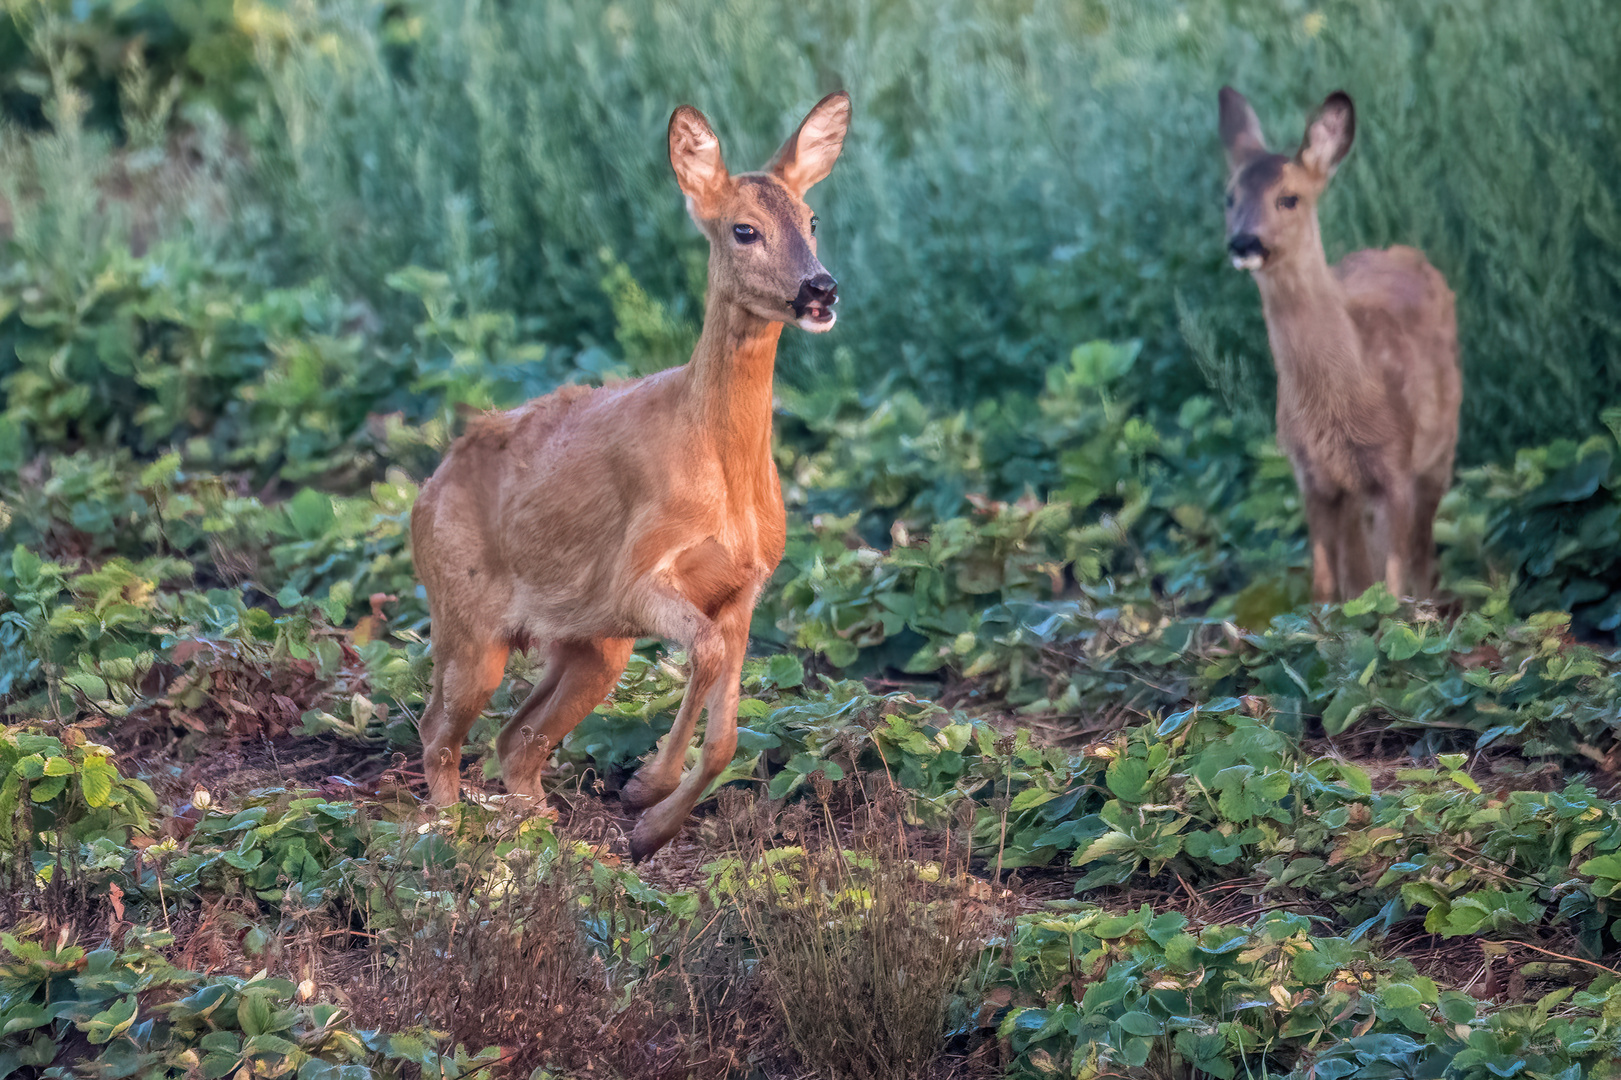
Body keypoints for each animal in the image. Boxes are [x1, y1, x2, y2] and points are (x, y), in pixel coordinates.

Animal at [411, 90, 855, 856]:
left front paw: (648, 823)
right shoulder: (636, 574)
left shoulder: (746, 587)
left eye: (812, 220)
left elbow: (728, 726)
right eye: (743, 229)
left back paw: (543, 834)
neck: (725, 472)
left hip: (591, 646)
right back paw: (450, 841)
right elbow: (705, 655)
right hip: (468, 619)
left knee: (514, 741)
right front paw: (645, 788)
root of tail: (423, 495)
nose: (819, 289)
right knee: (440, 732)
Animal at [1218, 88, 1471, 600]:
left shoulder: (1396, 462)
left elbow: (1393, 588)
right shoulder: (1311, 475)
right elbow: (1323, 588)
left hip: (1441, 447)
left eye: (1289, 198)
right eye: (1229, 197)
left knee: (1422, 551)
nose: (1244, 242)